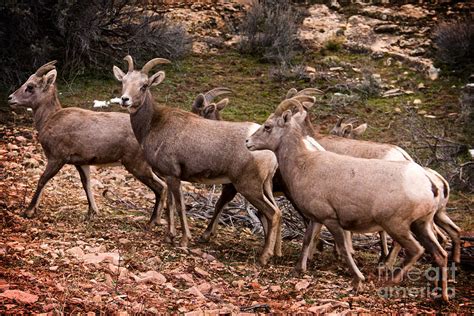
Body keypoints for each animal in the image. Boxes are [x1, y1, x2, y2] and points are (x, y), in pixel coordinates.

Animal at [7, 61, 168, 225]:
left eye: (30, 86)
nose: (10, 98)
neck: (50, 119)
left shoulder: (57, 159)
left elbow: (42, 180)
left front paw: (28, 211)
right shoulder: (82, 163)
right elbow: (86, 184)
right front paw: (92, 212)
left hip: (137, 165)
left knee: (161, 187)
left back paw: (152, 222)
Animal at [112, 55, 282, 266]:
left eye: (144, 85)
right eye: (124, 82)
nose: (125, 100)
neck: (154, 124)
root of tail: (271, 155)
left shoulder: (174, 176)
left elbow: (179, 206)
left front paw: (184, 240)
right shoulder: (169, 176)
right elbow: (170, 205)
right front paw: (170, 236)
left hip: (249, 188)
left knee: (272, 213)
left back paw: (264, 257)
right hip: (264, 188)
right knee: (277, 212)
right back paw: (274, 253)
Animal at [246, 99, 450, 302]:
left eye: (268, 126)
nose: (247, 142)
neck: (304, 164)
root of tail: (429, 182)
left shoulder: (331, 220)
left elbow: (344, 249)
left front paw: (358, 280)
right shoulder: (316, 219)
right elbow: (307, 240)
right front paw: (298, 270)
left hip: (397, 226)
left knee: (416, 250)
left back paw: (390, 281)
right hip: (422, 225)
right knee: (440, 254)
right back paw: (442, 297)